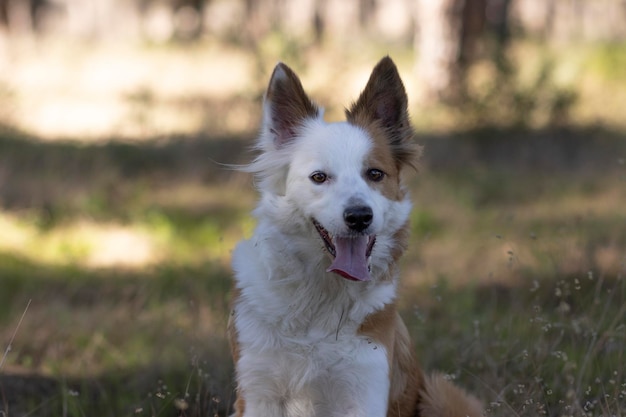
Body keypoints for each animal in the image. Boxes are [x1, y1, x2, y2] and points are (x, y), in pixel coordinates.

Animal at [227, 56, 480, 416]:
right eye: (319, 177)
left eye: (375, 174)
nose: (359, 217)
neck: (321, 295)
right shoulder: (259, 389)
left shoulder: (365, 387)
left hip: (441, 394)